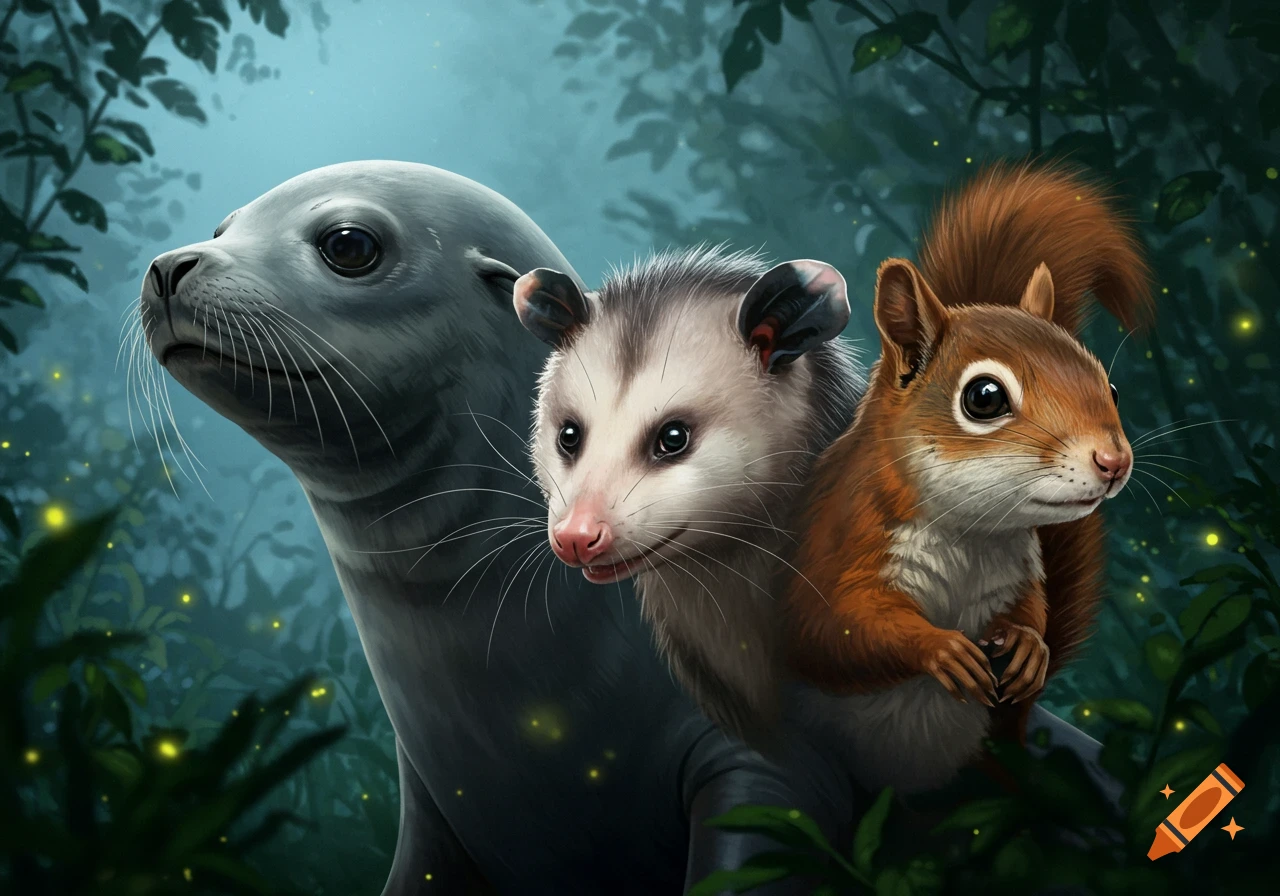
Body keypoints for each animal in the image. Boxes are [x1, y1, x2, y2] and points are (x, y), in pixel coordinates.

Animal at [781, 162, 1154, 794]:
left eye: (1110, 386)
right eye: (984, 397)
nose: (1114, 462)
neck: (972, 534)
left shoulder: (1022, 574)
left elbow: (1032, 613)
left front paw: (1029, 647)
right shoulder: (833, 546)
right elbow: (829, 631)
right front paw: (939, 648)